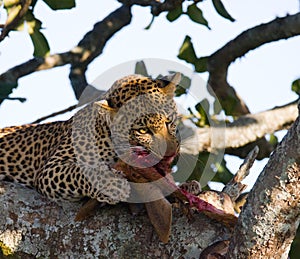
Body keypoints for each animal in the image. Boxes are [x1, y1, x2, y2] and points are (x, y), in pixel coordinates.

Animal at [0, 73, 180, 207]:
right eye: (142, 130)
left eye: (169, 121)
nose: (170, 154)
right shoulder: (50, 168)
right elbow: (81, 172)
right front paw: (112, 184)